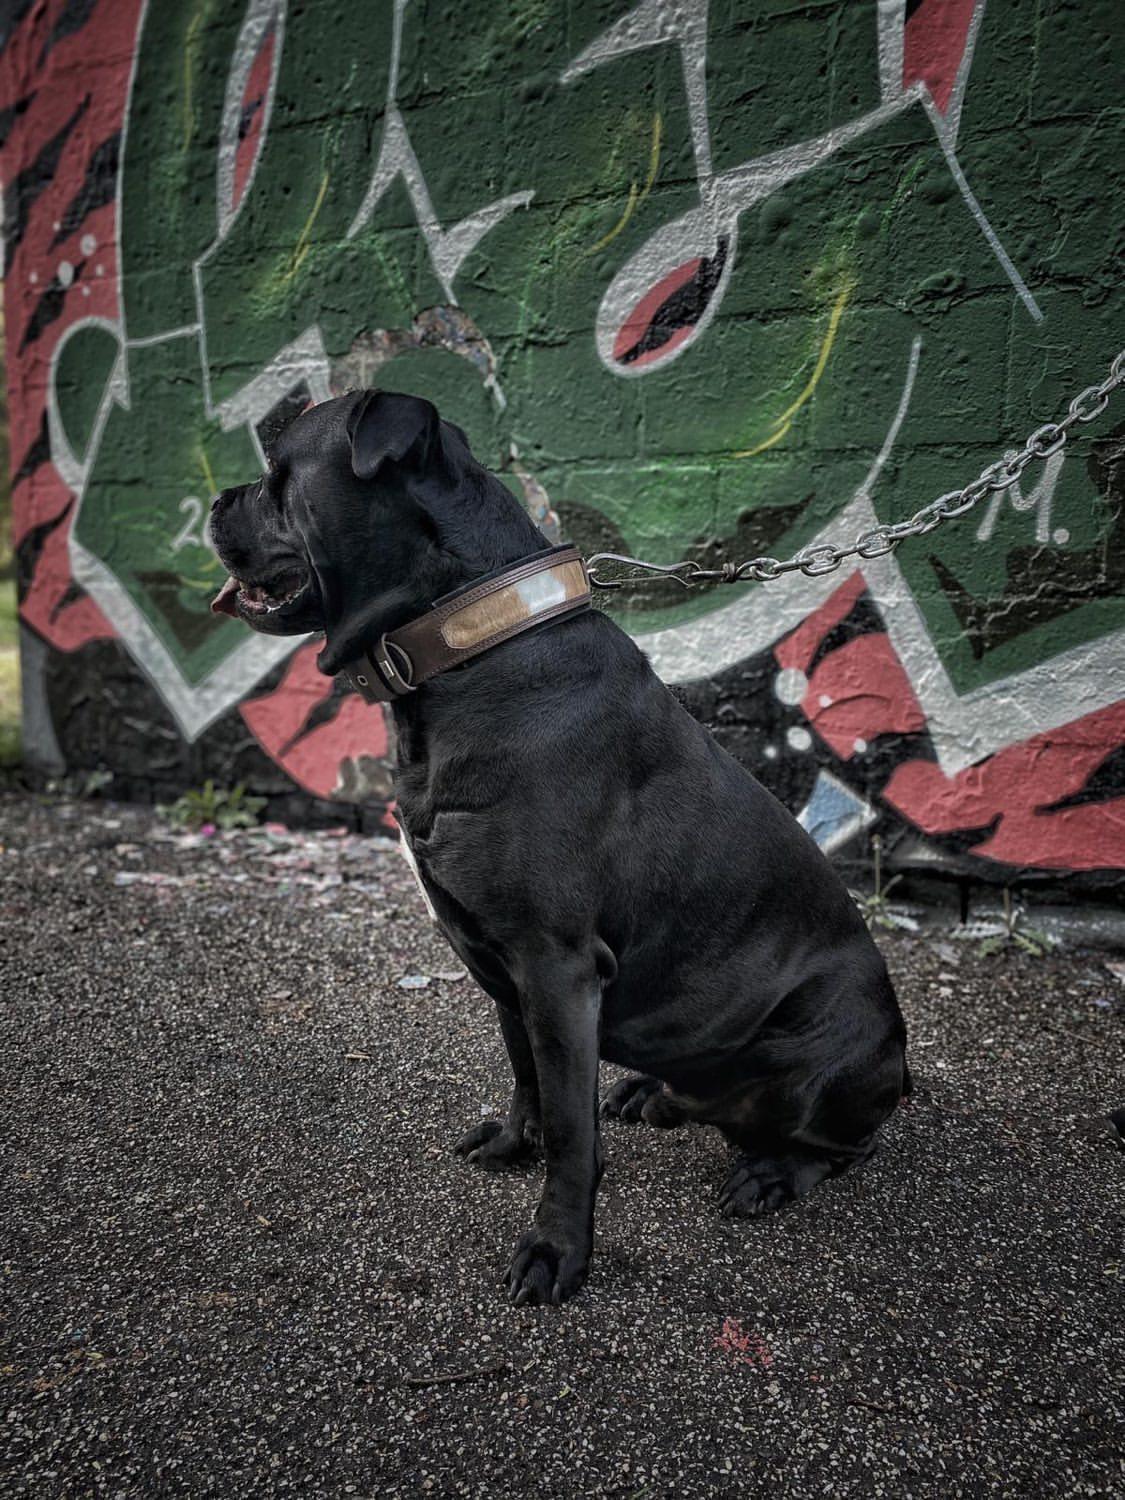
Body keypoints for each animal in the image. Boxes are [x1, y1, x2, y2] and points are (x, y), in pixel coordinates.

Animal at [211, 387, 912, 1302]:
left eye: (276, 477)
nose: (216, 502)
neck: (464, 644)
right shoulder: (505, 965)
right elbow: (530, 1078)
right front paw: (517, 1145)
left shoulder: (554, 962)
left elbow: (572, 1128)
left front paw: (557, 1250)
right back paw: (652, 1093)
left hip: (817, 1059)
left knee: (840, 1143)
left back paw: (767, 1171)